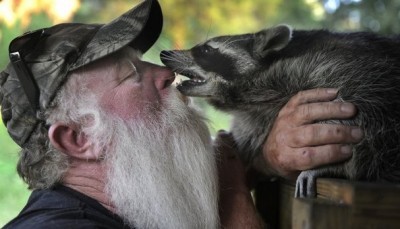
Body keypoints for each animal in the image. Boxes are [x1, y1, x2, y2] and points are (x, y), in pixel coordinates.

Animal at [161, 24, 400, 197]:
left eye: (206, 49)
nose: (164, 52)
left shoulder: (339, 67)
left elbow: (360, 103)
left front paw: (339, 165)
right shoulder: (252, 117)